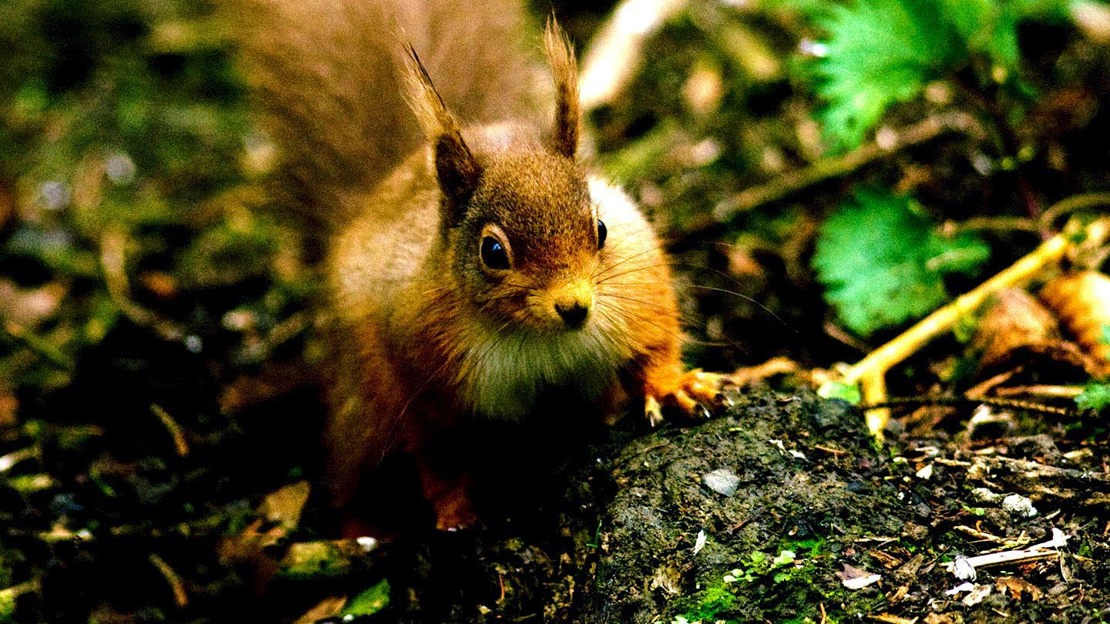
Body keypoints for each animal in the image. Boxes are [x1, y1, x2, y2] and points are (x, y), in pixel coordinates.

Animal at [231, 0, 724, 529]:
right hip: (363, 406)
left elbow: (653, 344)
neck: (537, 338)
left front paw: (676, 386)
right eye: (493, 252)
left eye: (601, 228)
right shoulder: (418, 365)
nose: (575, 308)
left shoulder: (637, 283)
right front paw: (454, 510)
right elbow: (439, 450)